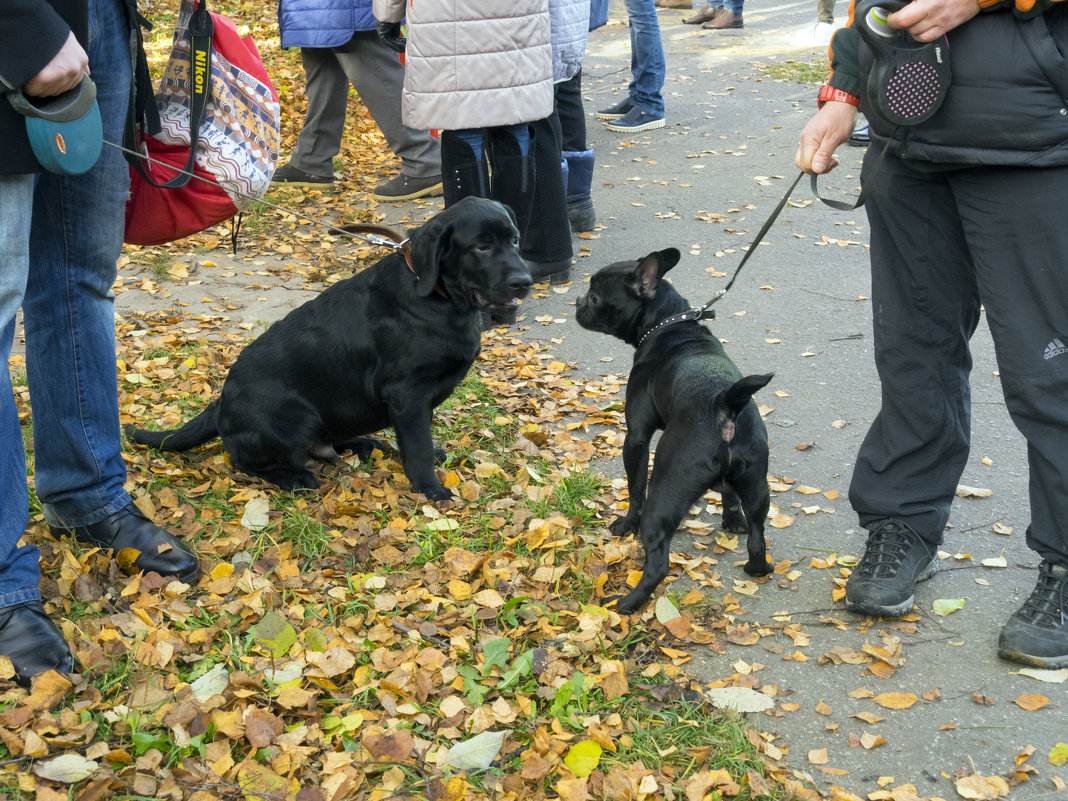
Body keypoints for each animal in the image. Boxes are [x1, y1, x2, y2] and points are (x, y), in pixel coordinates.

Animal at [126, 196, 534, 495]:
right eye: (481, 247)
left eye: (515, 240)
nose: (525, 281)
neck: (438, 296)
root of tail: (220, 403)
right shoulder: (407, 393)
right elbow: (417, 446)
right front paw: (430, 489)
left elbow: (423, 436)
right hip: (294, 416)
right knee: (248, 463)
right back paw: (297, 478)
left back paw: (367, 445)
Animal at [580, 247, 773, 610]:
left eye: (595, 297)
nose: (578, 303)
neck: (670, 324)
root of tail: (725, 403)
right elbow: (729, 494)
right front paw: (731, 519)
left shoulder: (636, 438)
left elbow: (635, 490)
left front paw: (625, 525)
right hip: (758, 486)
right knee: (757, 537)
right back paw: (758, 568)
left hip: (665, 490)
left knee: (658, 563)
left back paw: (626, 604)